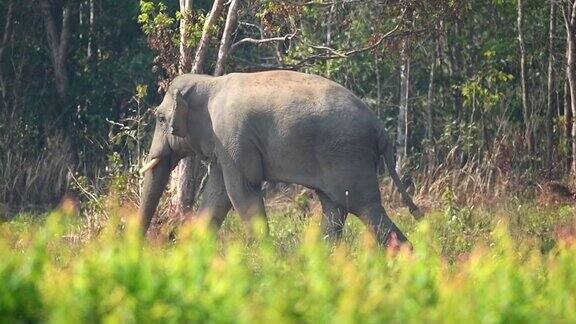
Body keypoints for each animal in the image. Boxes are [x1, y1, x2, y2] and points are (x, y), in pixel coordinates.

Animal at [137, 70, 420, 246]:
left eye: (160, 118)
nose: (141, 245)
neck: (210, 82)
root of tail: (380, 129)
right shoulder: (225, 146)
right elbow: (218, 195)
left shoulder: (232, 137)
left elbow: (240, 191)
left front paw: (262, 255)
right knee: (335, 208)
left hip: (348, 156)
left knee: (365, 207)